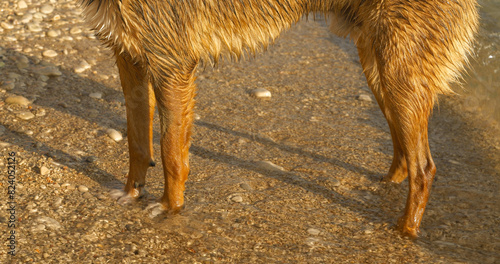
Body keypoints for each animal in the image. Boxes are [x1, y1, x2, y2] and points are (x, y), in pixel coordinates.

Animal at [80, 0, 478, 237]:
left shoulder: (171, 67)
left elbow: (171, 155)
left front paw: (169, 209)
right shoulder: (129, 58)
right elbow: (136, 140)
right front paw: (131, 192)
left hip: (398, 72)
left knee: (424, 168)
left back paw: (404, 231)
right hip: (379, 68)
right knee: (405, 153)